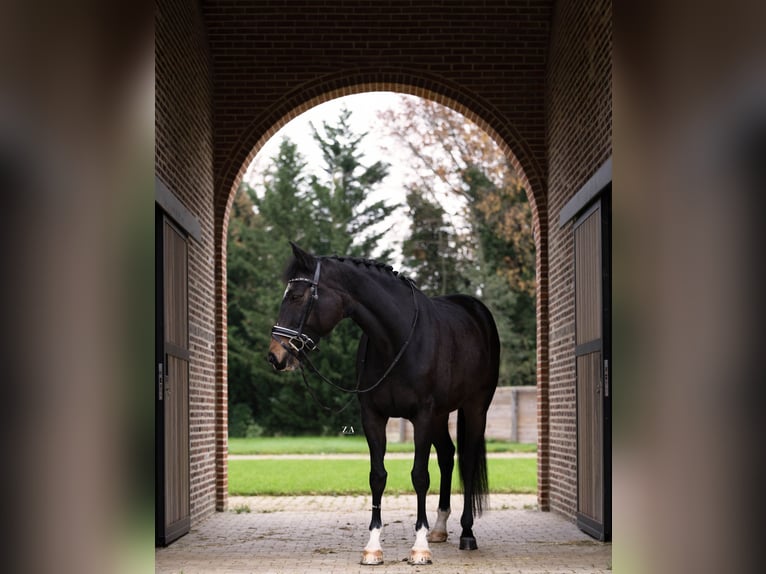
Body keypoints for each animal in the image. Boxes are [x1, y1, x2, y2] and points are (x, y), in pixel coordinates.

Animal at [268, 243, 500, 568]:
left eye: (297, 296)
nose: (275, 356)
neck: (396, 339)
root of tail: (477, 312)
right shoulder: (373, 417)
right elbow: (377, 476)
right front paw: (373, 547)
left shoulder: (422, 416)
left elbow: (419, 476)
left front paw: (419, 548)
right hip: (441, 416)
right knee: (447, 456)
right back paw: (439, 528)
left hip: (475, 407)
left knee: (465, 461)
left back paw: (467, 533)